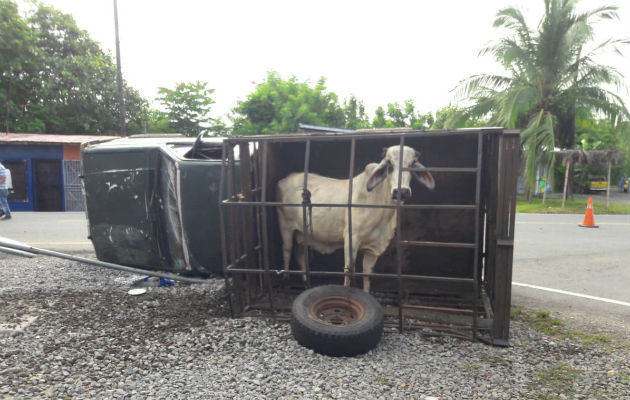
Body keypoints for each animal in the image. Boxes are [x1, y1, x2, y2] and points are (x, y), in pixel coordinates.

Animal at [278, 145, 436, 292]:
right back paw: (286, 280)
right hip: (286, 226)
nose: (401, 191)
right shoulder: (351, 238)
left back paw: (305, 282)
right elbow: (348, 272)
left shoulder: (373, 248)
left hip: (301, 233)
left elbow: (367, 274)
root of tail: (286, 178)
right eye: (389, 164)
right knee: (286, 251)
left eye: (412, 163)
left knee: (299, 254)